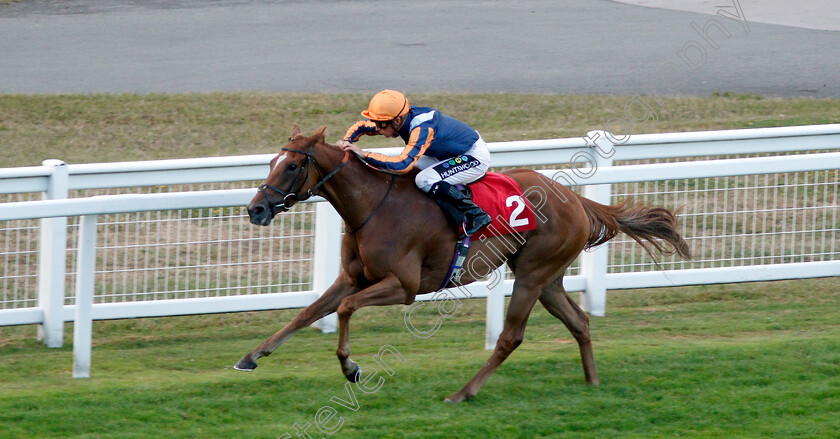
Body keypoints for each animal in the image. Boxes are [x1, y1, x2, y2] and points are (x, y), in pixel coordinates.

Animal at [233, 125, 692, 404]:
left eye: (293, 165)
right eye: (271, 162)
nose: (256, 209)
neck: (373, 206)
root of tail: (577, 200)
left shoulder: (403, 286)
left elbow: (344, 310)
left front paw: (351, 368)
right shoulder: (352, 277)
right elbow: (307, 312)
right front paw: (252, 356)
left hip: (531, 275)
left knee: (510, 337)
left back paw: (463, 392)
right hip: (549, 278)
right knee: (579, 321)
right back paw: (592, 382)